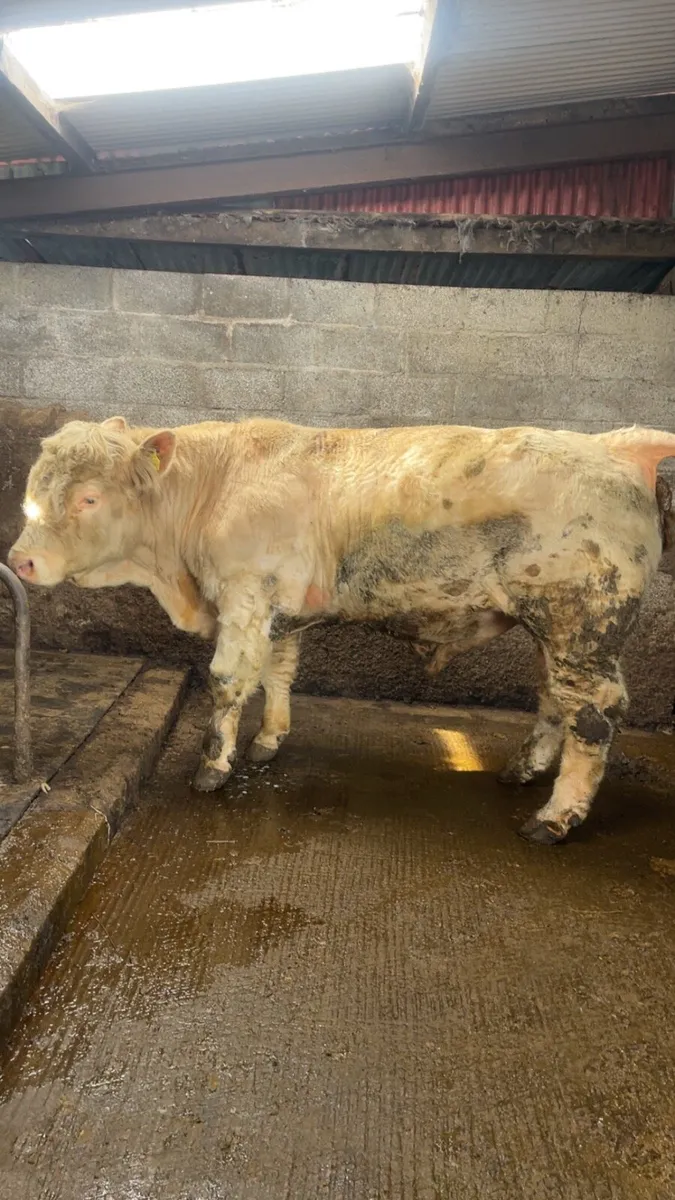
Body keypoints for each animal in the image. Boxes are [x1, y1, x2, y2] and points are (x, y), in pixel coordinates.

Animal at [8, 415, 675, 845]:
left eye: (89, 499)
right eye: (33, 491)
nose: (21, 560)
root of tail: (614, 445)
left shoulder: (245, 595)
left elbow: (227, 682)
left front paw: (213, 769)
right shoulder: (280, 607)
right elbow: (278, 674)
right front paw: (268, 741)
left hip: (580, 625)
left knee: (594, 715)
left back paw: (555, 818)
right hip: (557, 634)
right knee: (554, 699)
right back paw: (523, 770)